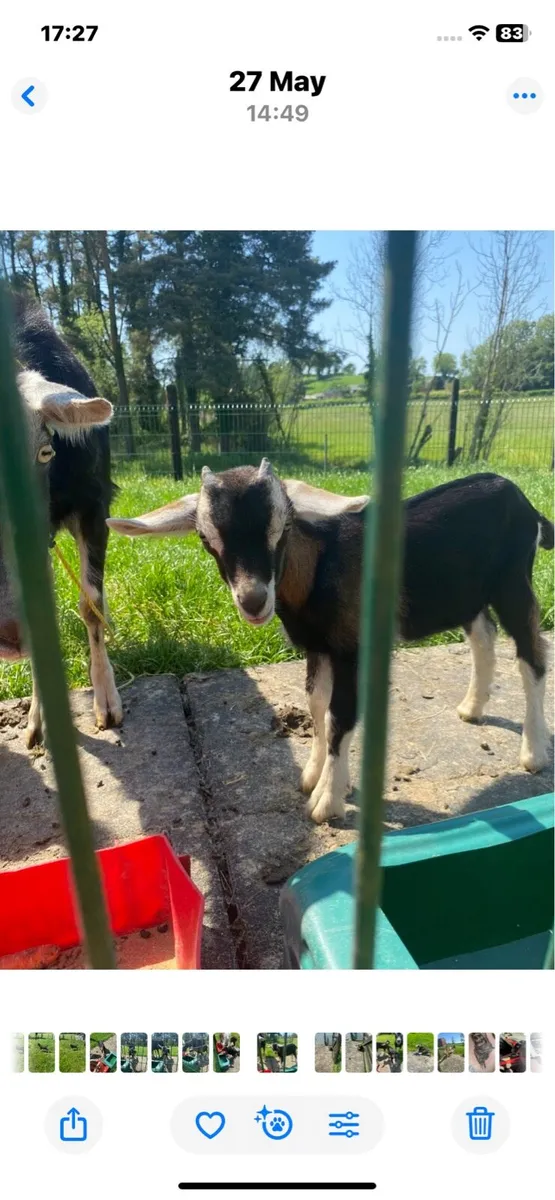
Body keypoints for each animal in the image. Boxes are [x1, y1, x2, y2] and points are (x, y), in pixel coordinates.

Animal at [0, 294, 122, 745]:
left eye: (44, 452)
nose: (10, 634)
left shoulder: (94, 506)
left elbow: (91, 602)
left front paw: (106, 703)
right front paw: (38, 719)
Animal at [108, 461, 553, 824]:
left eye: (283, 527)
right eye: (204, 537)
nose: (254, 601)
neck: (318, 567)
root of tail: (521, 498)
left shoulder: (351, 649)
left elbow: (341, 717)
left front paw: (328, 801)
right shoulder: (318, 649)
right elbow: (317, 706)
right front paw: (314, 774)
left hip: (514, 582)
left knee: (531, 655)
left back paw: (533, 752)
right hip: (467, 594)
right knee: (484, 636)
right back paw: (472, 708)